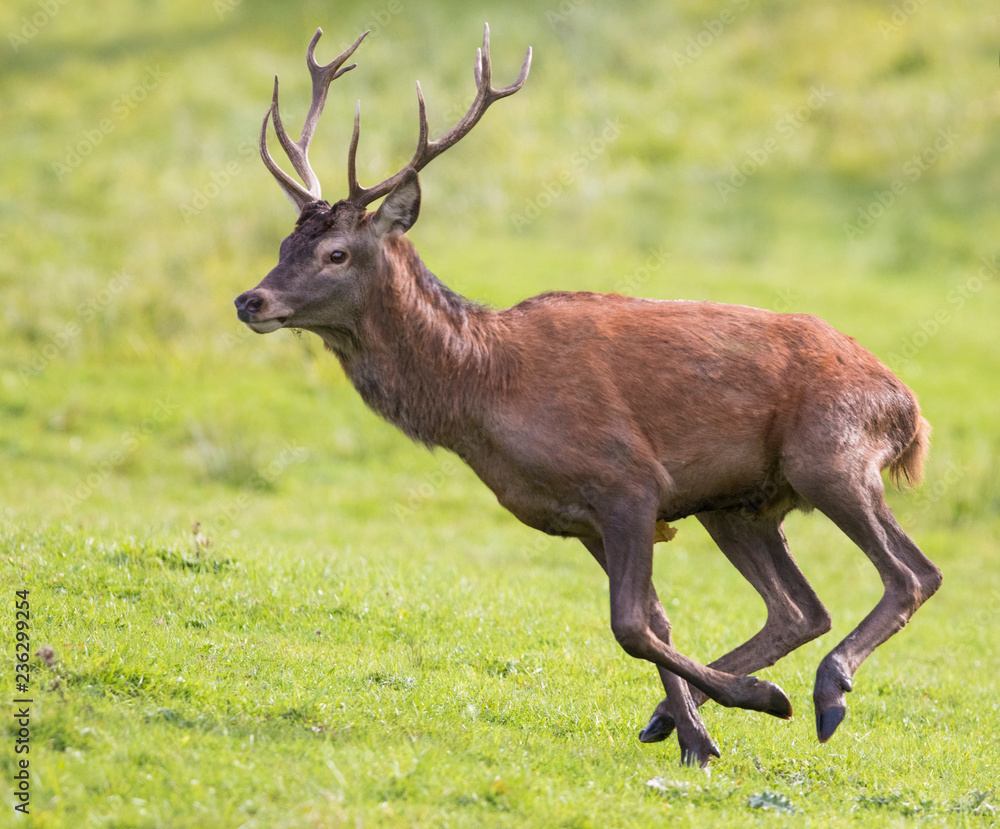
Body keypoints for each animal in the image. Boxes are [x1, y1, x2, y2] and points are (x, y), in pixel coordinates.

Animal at [234, 25, 942, 767]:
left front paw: (747, 704)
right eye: (284, 242)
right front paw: (696, 736)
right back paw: (693, 708)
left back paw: (825, 692)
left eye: (337, 253)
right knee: (801, 607)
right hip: (738, 504)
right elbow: (656, 617)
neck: (485, 392)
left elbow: (628, 622)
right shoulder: (583, 517)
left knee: (912, 573)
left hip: (831, 452)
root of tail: (910, 411)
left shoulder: (628, 477)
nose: (250, 300)